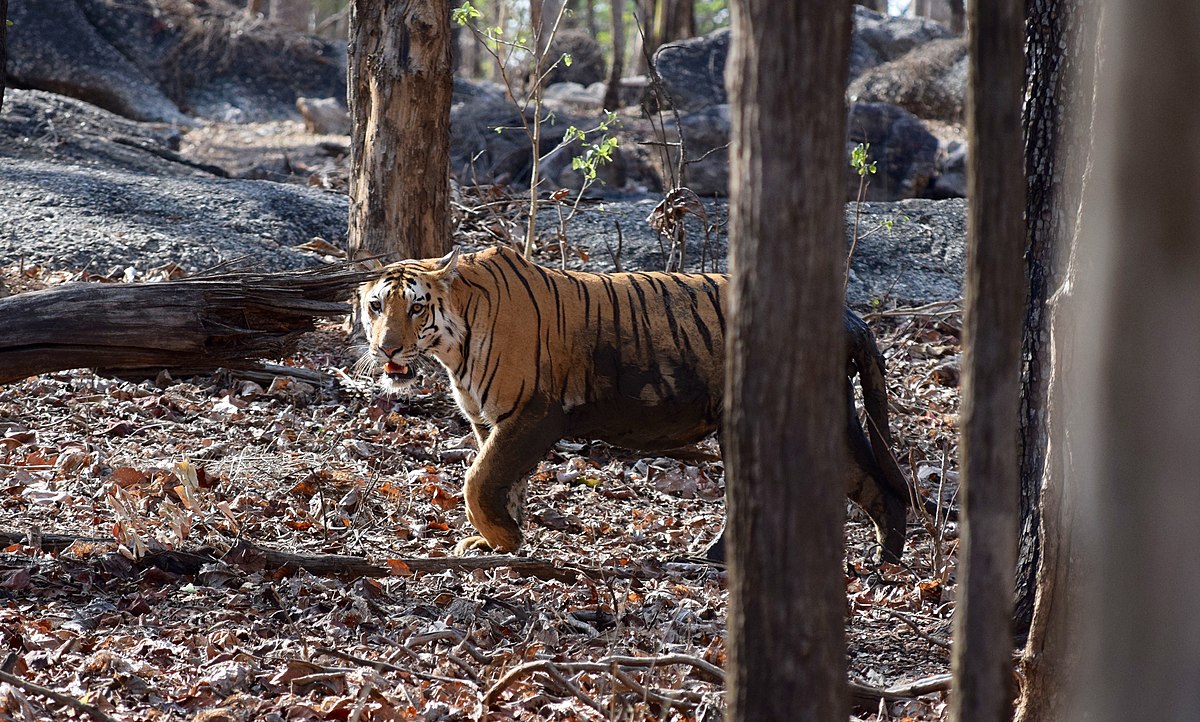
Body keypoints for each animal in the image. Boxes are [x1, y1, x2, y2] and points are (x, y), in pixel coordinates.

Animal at [355, 244, 907, 558]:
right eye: (376, 306)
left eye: (416, 308)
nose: (387, 348)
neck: (454, 344)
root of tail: (846, 313)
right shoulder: (489, 421)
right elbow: (503, 482)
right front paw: (499, 541)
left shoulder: (533, 416)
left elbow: (479, 480)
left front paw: (505, 540)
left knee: (881, 483)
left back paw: (886, 560)